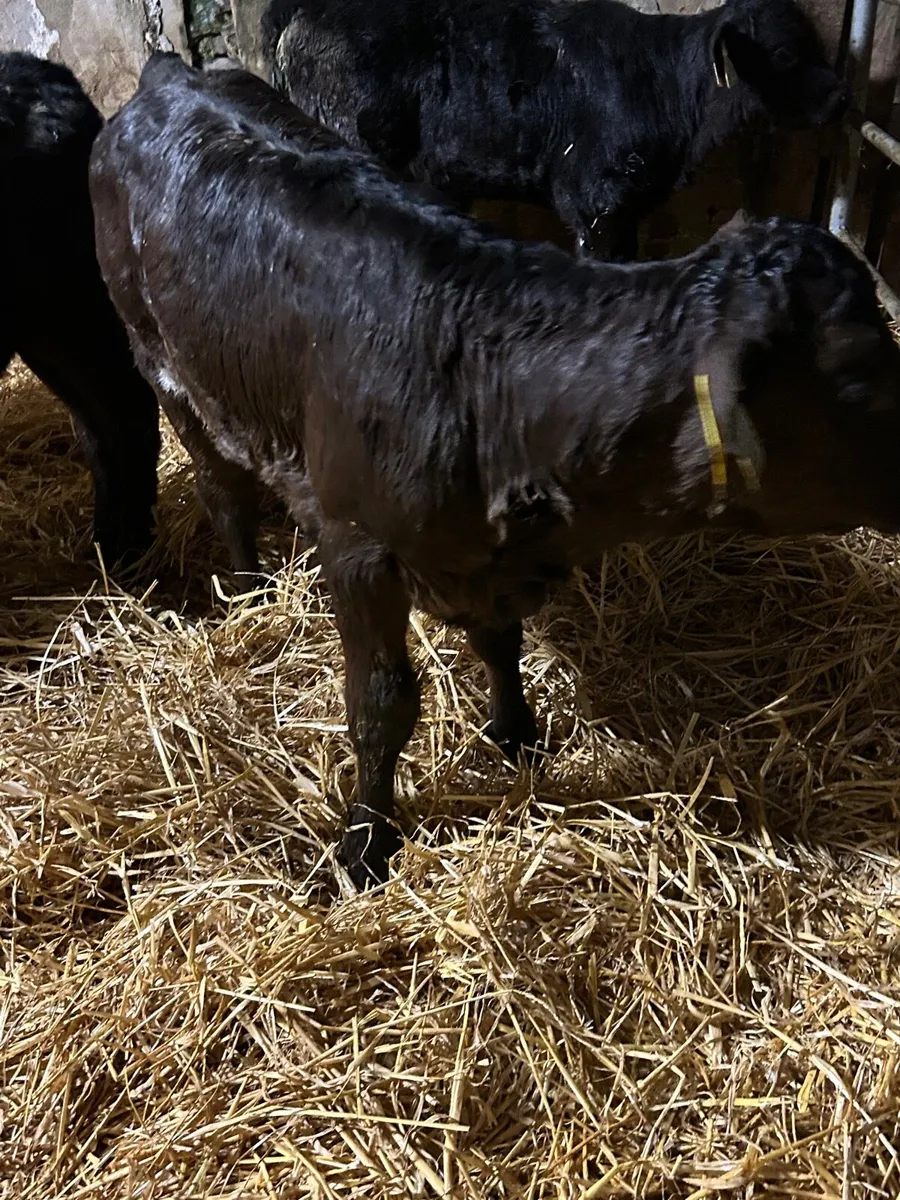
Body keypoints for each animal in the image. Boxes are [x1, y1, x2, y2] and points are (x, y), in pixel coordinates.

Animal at [90, 56, 900, 888]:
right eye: (858, 378)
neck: (484, 384)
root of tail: (170, 76)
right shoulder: (356, 544)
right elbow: (381, 705)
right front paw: (366, 843)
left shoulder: (489, 559)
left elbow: (501, 644)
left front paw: (516, 733)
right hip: (160, 359)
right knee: (223, 489)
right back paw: (250, 592)